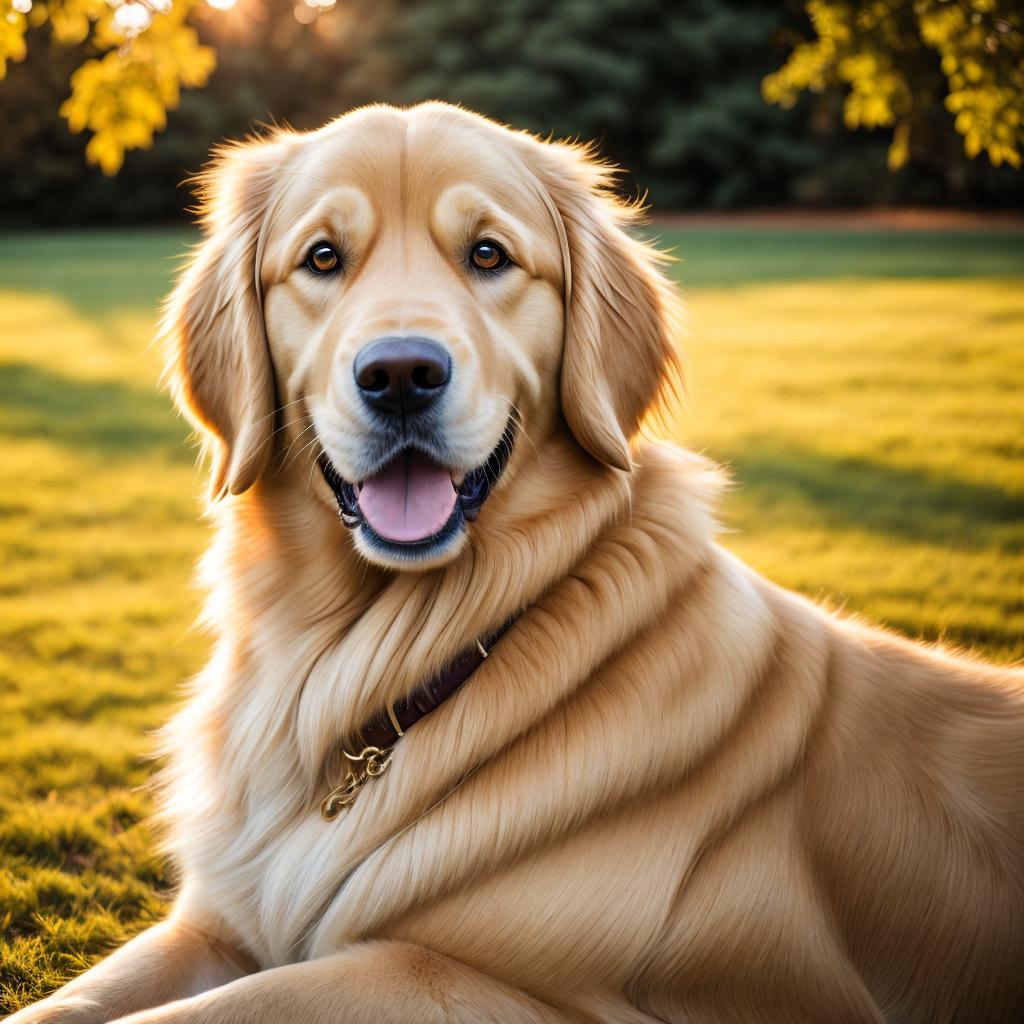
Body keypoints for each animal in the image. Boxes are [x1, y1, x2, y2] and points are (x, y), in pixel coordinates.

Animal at [12, 97, 1024, 1024]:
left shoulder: (482, 986)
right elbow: (70, 1005)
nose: (401, 375)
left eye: (489, 255)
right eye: (323, 258)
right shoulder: (217, 923)